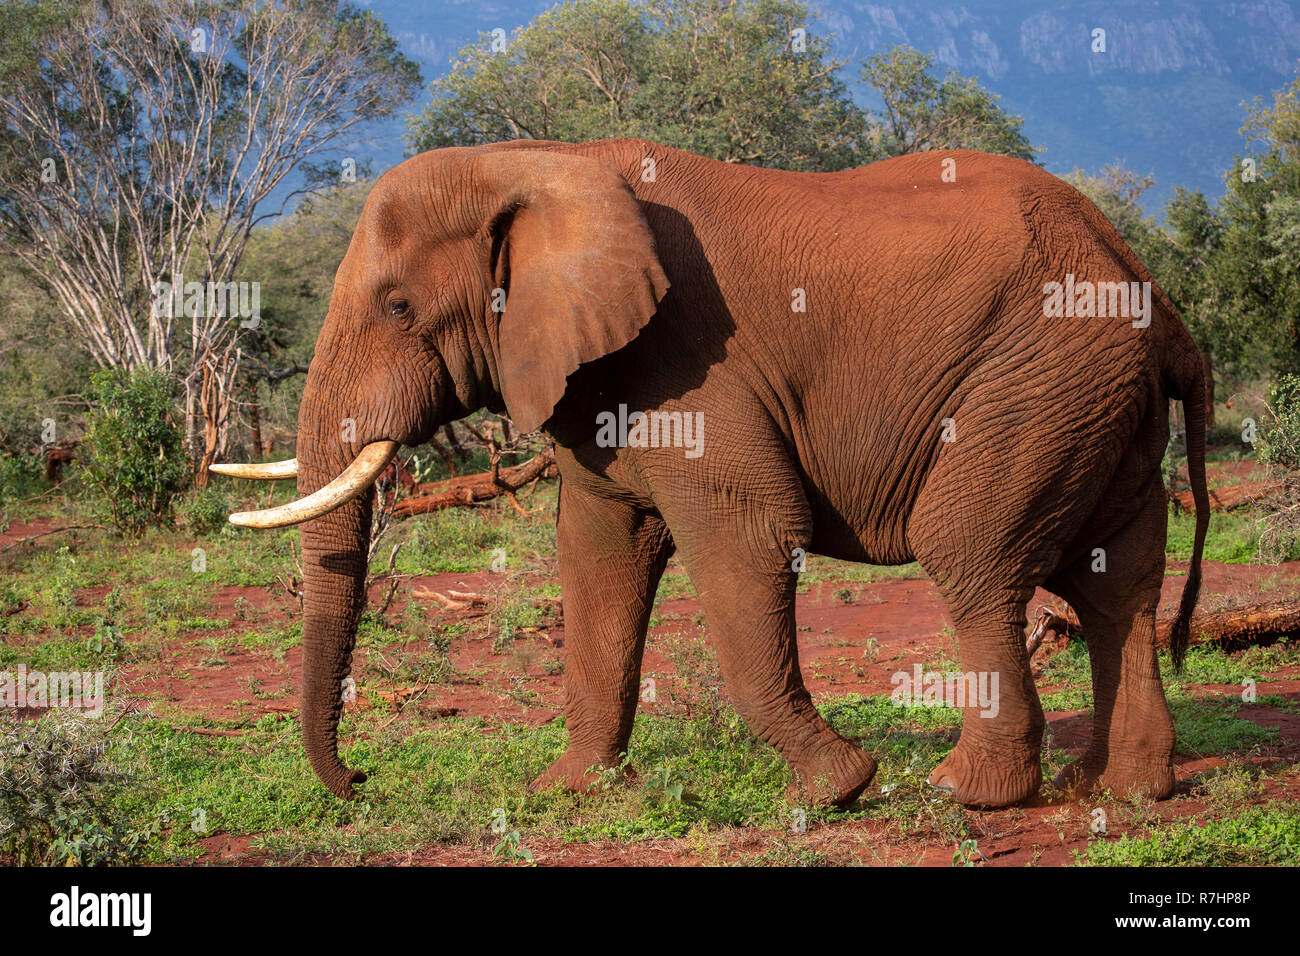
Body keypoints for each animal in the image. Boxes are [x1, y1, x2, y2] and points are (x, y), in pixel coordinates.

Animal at [213, 138, 1206, 811]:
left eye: (398, 307)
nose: (360, 777)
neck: (541, 165)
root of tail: (1156, 300)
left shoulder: (690, 365)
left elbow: (750, 539)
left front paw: (833, 791)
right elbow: (599, 555)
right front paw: (563, 791)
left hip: (1037, 381)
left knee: (970, 555)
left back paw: (965, 791)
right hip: (1092, 402)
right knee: (1115, 581)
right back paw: (1121, 788)